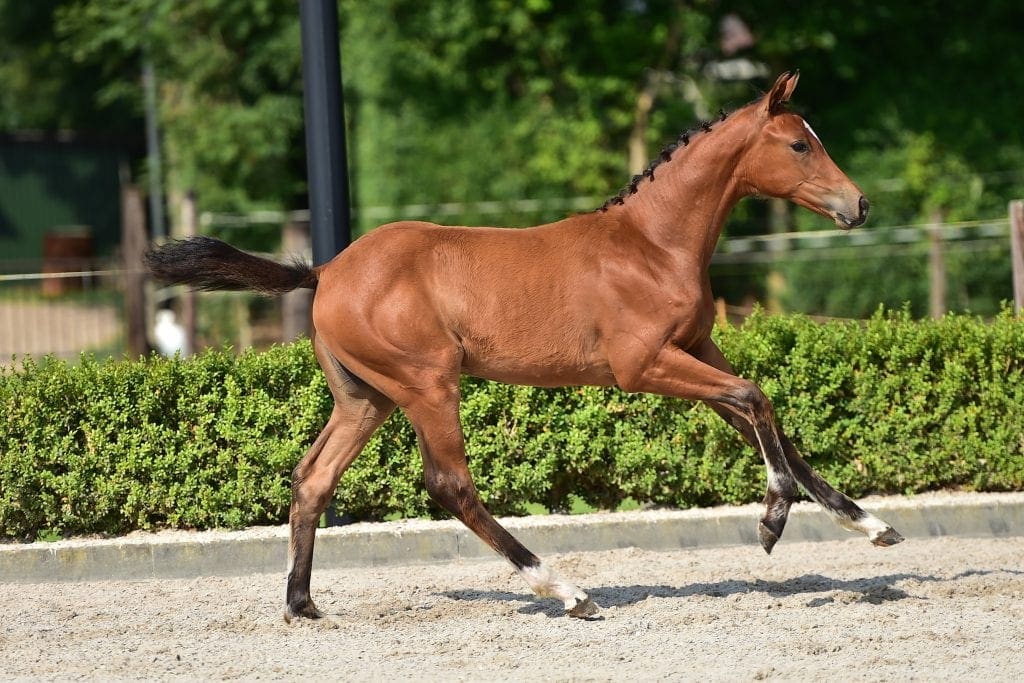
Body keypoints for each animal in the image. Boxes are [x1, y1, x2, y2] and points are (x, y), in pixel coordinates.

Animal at [146, 71, 903, 621]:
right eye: (800, 145)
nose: (859, 204)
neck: (652, 244)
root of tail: (326, 269)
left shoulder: (697, 350)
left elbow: (767, 418)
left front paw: (870, 526)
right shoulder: (643, 366)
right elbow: (756, 400)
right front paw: (772, 520)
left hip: (366, 398)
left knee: (312, 478)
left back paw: (302, 604)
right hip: (427, 385)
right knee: (450, 484)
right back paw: (567, 591)